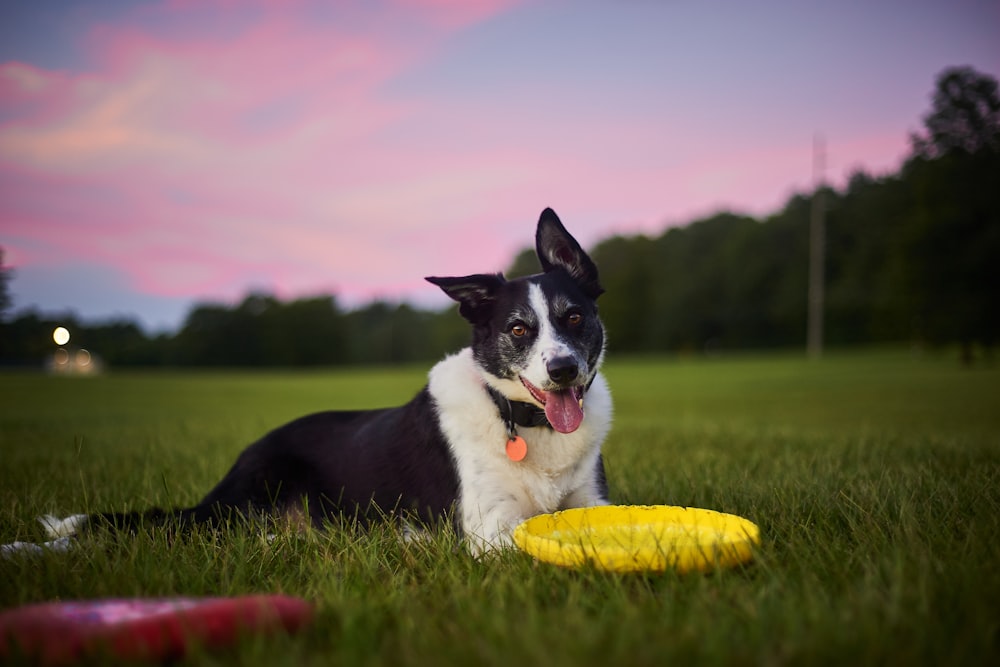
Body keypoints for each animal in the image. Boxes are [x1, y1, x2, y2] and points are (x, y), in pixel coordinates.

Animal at [5, 210, 616, 560]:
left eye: (574, 317)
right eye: (518, 328)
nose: (563, 370)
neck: (523, 423)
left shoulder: (592, 502)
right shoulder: (490, 530)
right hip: (242, 500)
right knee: (169, 531)